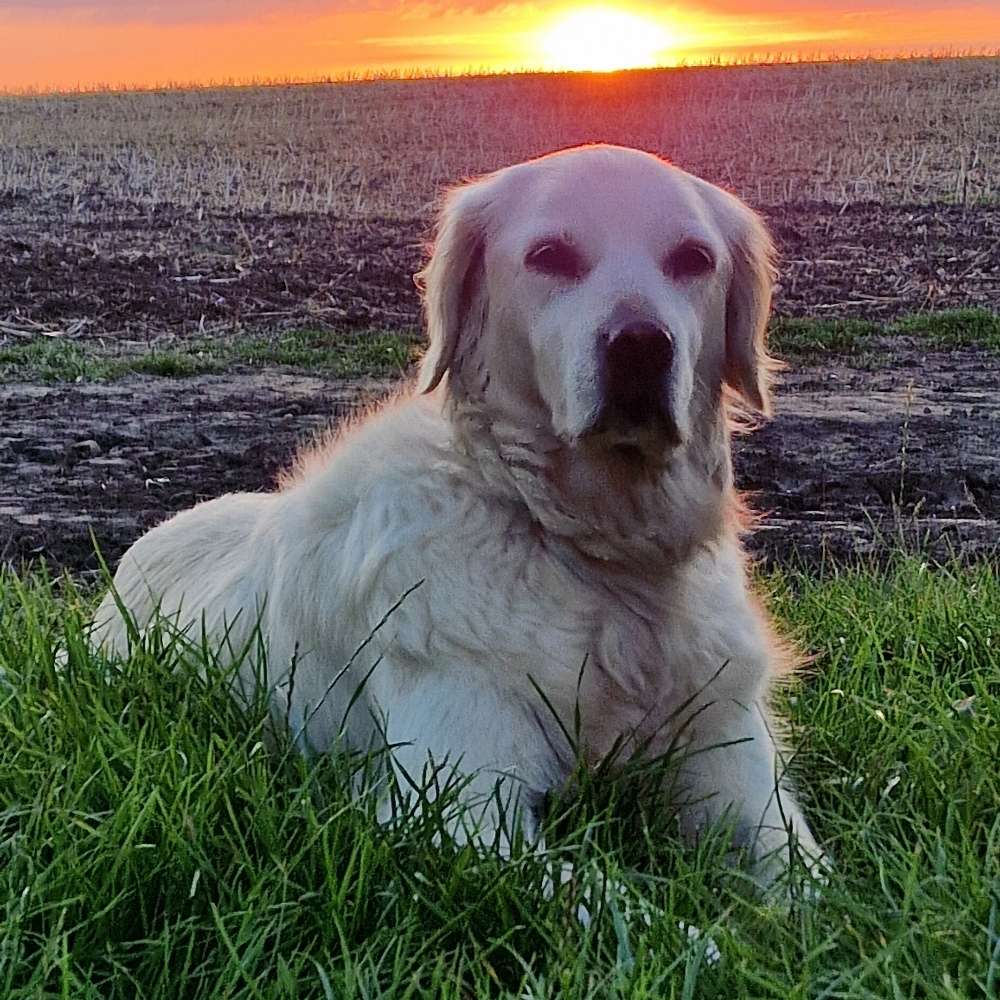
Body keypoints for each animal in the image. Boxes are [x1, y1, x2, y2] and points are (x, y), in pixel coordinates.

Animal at [94, 143, 824, 884]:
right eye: (550, 255)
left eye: (694, 259)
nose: (641, 344)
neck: (599, 554)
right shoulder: (461, 808)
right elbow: (621, 899)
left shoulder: (742, 778)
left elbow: (816, 889)